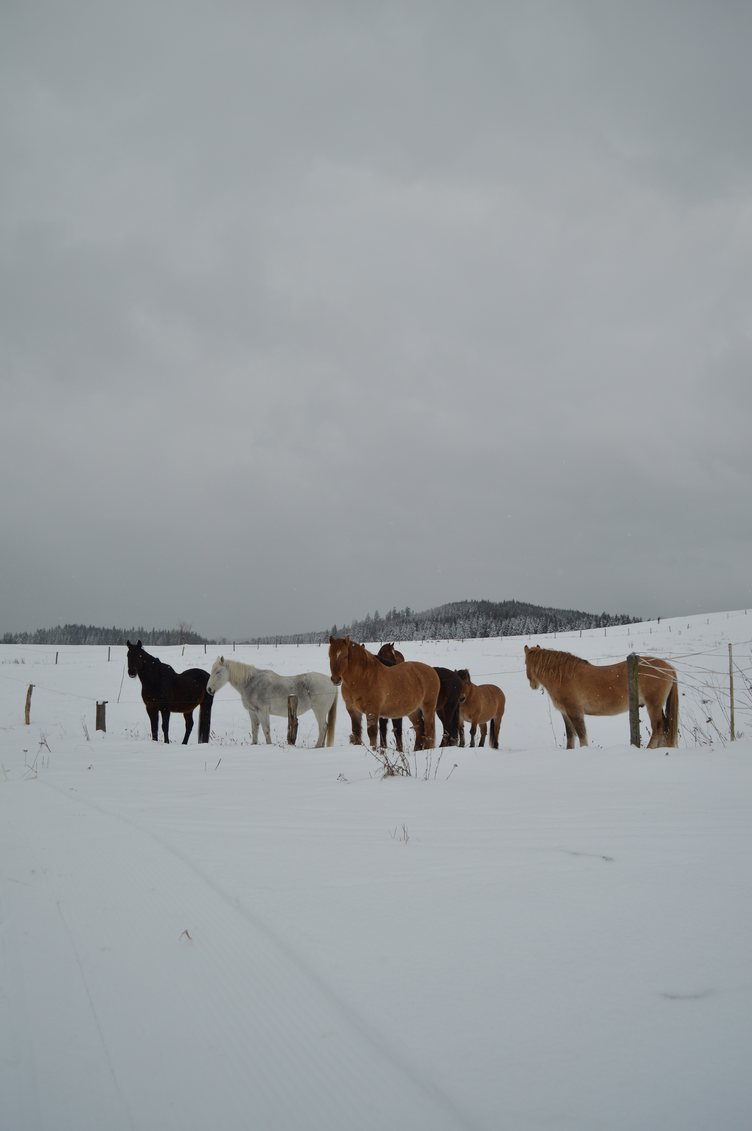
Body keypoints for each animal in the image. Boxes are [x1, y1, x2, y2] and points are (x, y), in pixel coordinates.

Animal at [203, 660, 334, 746]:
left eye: (218, 672)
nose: (209, 689)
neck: (251, 683)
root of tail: (330, 681)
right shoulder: (253, 712)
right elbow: (255, 730)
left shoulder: (262, 711)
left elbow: (266, 730)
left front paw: (269, 745)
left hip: (319, 711)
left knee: (323, 728)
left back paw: (317, 747)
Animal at [522, 646, 678, 750]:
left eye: (525, 663)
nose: (532, 685)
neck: (564, 676)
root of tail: (668, 667)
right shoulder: (565, 713)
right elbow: (570, 735)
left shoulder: (575, 712)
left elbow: (581, 734)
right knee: (664, 725)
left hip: (654, 704)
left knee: (658, 725)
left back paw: (651, 748)